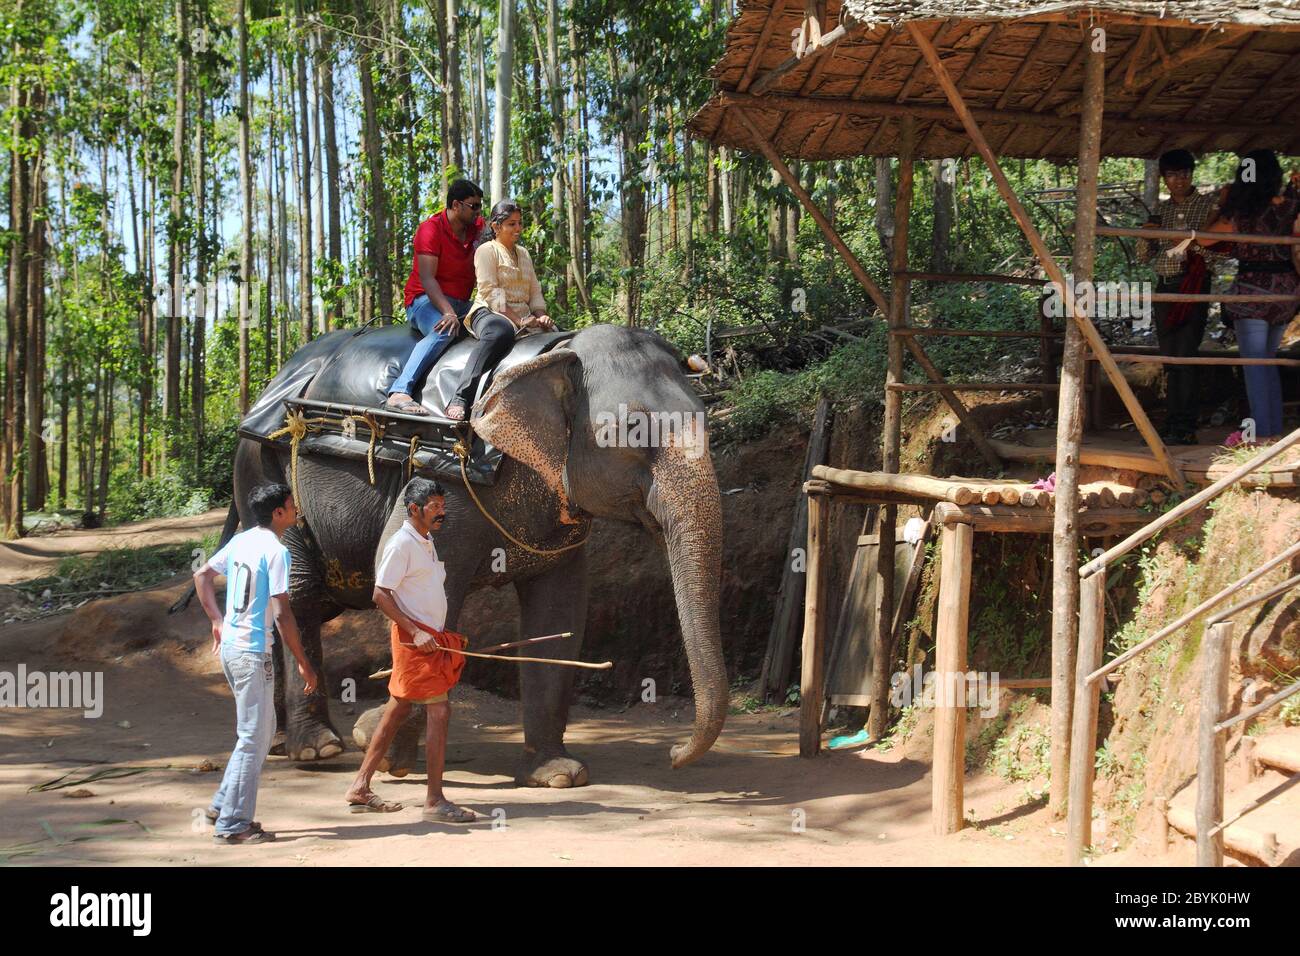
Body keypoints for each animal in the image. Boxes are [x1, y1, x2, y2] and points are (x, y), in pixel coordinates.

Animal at [228, 325, 728, 790]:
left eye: (706, 420)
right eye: (628, 431)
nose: (672, 753)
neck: (552, 356)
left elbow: (560, 611)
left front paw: (556, 774)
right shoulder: (448, 476)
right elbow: (423, 590)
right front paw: (381, 745)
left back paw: (282, 742)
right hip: (267, 472)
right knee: (300, 596)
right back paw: (318, 748)